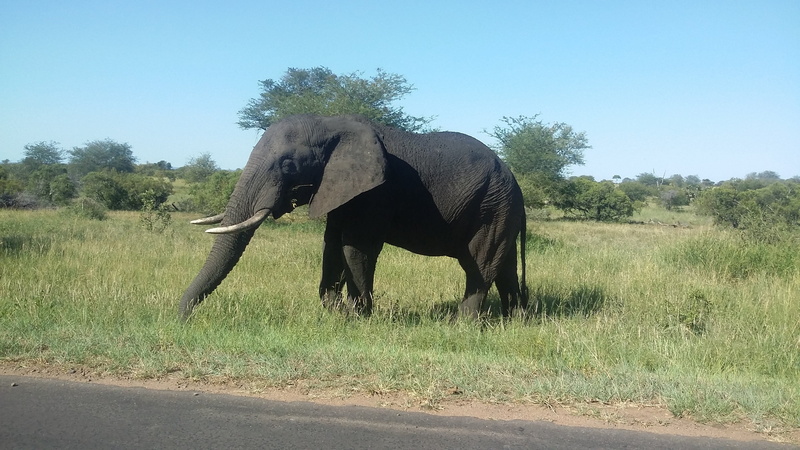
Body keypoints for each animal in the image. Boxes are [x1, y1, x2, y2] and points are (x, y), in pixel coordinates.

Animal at [180, 114, 528, 321]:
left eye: (288, 165)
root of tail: (515, 181)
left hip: (491, 206)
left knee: (479, 265)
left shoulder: (376, 192)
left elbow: (355, 247)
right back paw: (515, 320)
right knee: (504, 266)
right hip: (500, 208)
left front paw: (357, 316)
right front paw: (335, 313)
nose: (183, 319)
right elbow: (331, 244)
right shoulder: (340, 189)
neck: (331, 125)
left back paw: (460, 324)